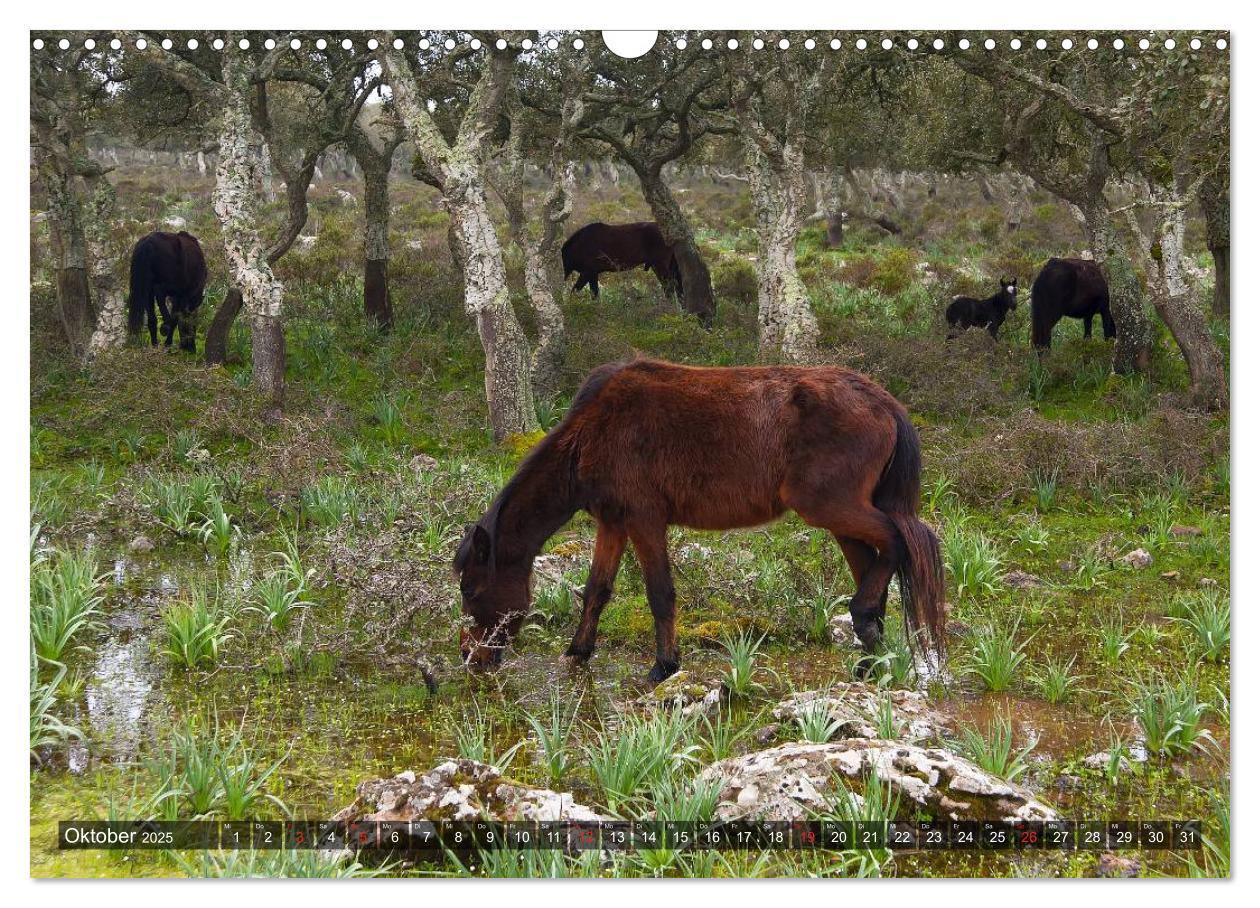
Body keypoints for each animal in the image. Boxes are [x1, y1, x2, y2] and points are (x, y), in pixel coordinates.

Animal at [456, 357, 947, 685]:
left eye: (471, 590)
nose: (471, 657)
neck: (592, 431)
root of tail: (883, 401)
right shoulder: (612, 524)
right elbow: (597, 589)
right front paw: (578, 651)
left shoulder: (645, 520)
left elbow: (659, 594)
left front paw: (663, 665)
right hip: (839, 517)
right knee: (877, 560)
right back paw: (870, 652)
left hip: (830, 506)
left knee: (903, 540)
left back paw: (864, 621)